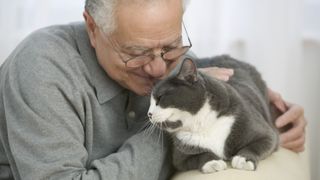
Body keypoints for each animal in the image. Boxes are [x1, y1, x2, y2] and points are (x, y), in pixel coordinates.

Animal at [148, 54, 280, 173]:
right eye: (150, 102)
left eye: (160, 98)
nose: (149, 114)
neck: (202, 122)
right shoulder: (180, 157)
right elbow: (199, 155)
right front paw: (212, 162)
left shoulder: (262, 130)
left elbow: (259, 143)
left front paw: (244, 159)